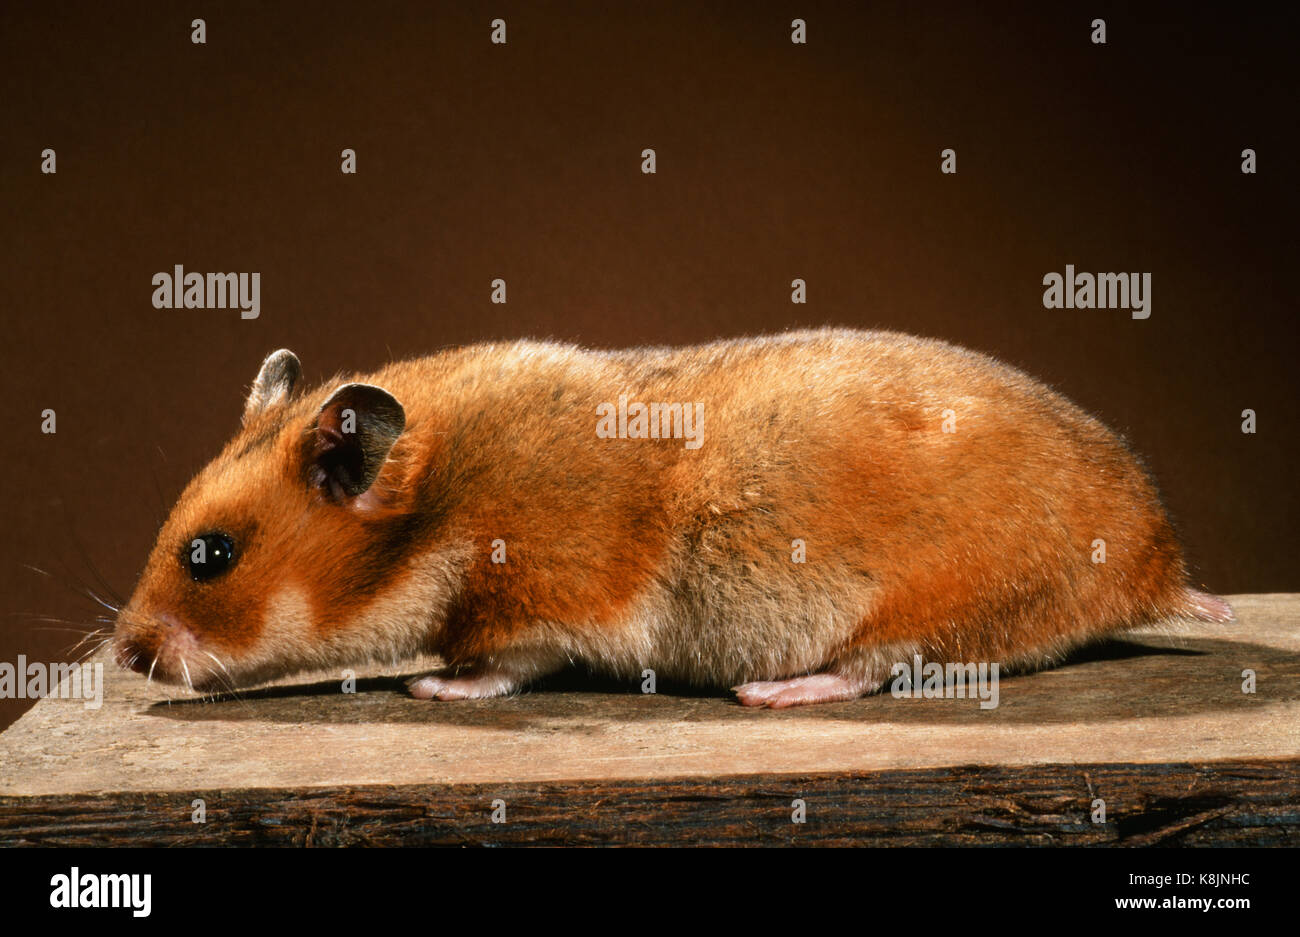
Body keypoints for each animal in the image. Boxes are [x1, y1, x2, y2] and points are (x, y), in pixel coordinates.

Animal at [109, 327, 1227, 701]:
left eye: (210, 555)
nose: (124, 653)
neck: (443, 504)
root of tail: (1159, 562)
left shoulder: (551, 598)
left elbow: (504, 665)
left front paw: (432, 686)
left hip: (935, 602)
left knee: (878, 667)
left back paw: (775, 694)